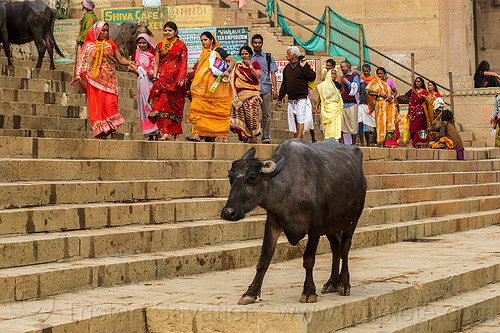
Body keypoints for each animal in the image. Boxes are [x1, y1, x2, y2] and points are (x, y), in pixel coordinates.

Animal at [221, 139, 366, 304]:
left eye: (252, 177)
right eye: (231, 177)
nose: (228, 212)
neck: (289, 188)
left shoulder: (316, 226)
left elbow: (309, 259)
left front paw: (309, 292)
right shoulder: (272, 224)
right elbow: (264, 259)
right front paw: (250, 293)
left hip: (352, 219)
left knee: (345, 247)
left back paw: (344, 284)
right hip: (331, 225)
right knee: (336, 247)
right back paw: (331, 283)